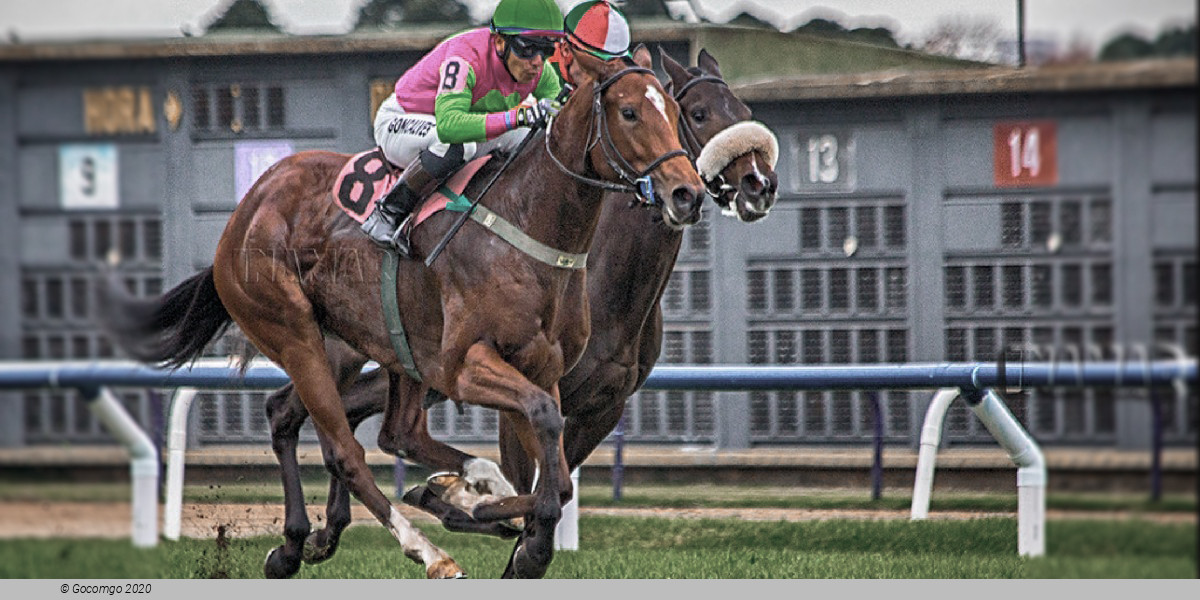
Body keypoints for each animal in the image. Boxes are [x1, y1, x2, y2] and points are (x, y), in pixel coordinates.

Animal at [105, 48, 700, 580]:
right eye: (630, 112)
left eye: (675, 113)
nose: (687, 193)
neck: (529, 224)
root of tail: (248, 207)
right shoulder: (466, 365)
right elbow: (543, 428)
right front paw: (504, 528)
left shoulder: (545, 368)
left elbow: (556, 474)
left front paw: (496, 517)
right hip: (295, 333)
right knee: (346, 449)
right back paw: (426, 551)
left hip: (392, 348)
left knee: (381, 430)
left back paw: (308, 540)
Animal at [254, 48, 777, 576]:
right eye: (699, 113)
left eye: (741, 109)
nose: (760, 183)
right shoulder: (511, 385)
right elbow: (526, 484)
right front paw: (475, 512)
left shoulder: (601, 406)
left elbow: (554, 487)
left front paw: (503, 529)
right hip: (335, 346)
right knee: (297, 410)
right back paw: (310, 536)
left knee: (334, 415)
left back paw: (319, 535)